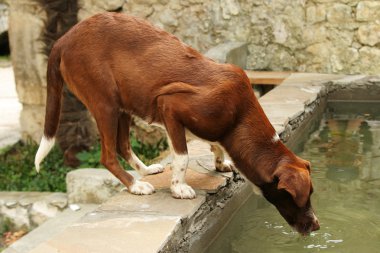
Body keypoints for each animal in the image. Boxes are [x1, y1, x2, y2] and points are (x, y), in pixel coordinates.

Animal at [35, 12, 320, 235]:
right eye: (300, 197)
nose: (317, 226)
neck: (239, 116)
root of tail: (64, 38)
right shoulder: (169, 106)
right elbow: (182, 156)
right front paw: (179, 188)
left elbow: (213, 147)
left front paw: (220, 163)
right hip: (105, 104)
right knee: (107, 155)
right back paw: (135, 185)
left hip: (124, 103)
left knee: (122, 145)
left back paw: (145, 170)